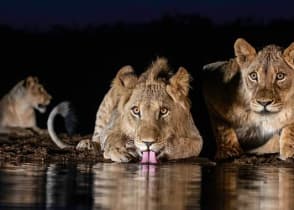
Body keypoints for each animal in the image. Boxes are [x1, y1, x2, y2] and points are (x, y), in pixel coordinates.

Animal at [49, 58, 203, 163]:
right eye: (136, 110)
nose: (148, 143)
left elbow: (187, 146)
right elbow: (111, 137)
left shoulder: (196, 137)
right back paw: (87, 144)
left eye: (164, 111)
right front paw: (119, 151)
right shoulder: (111, 128)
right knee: (97, 136)